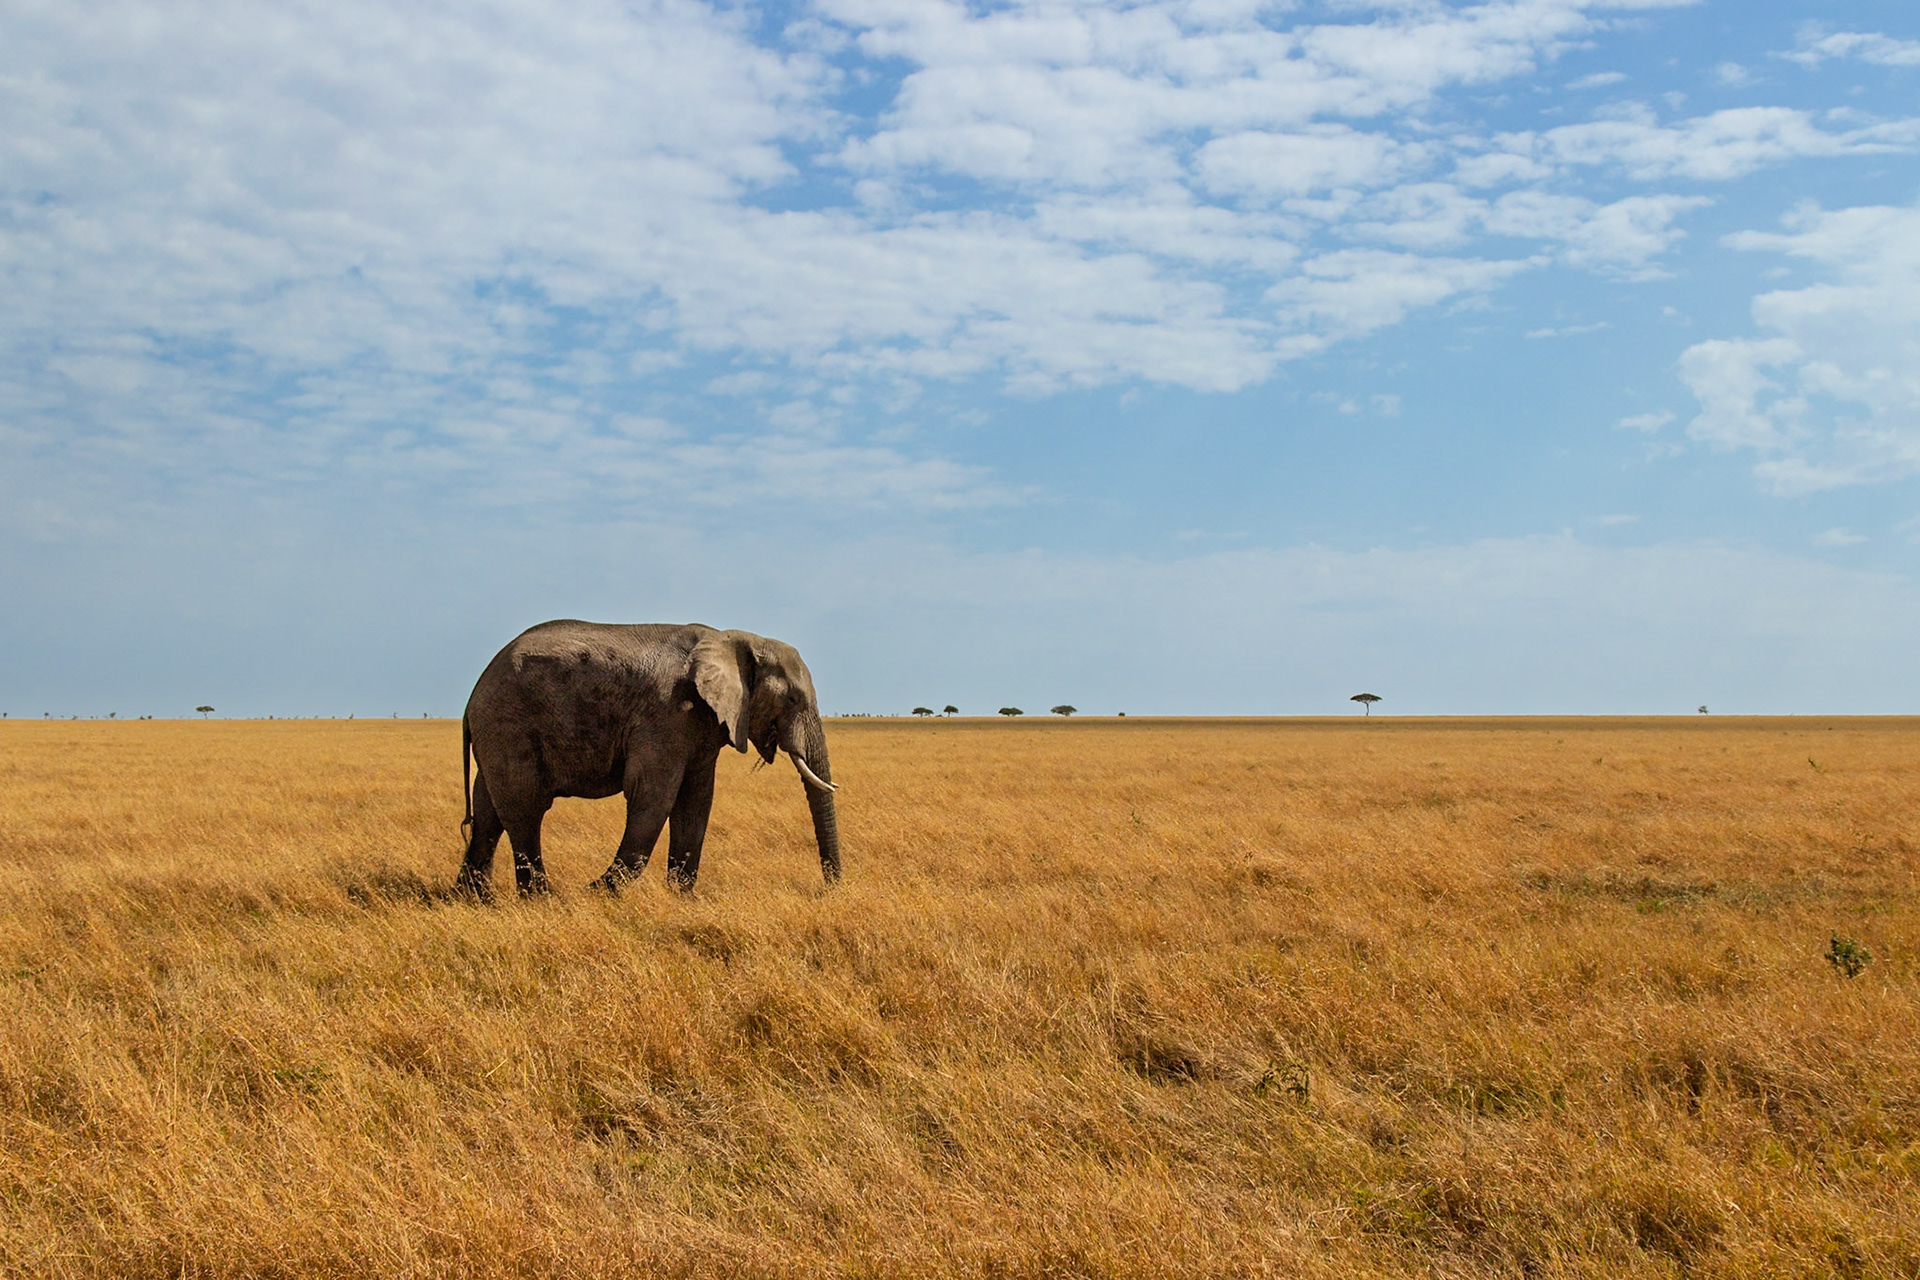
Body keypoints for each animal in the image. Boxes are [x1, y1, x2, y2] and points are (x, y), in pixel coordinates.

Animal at [456, 620, 839, 898]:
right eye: (793, 699)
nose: (829, 888)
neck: (733, 639)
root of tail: (473, 694)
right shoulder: (666, 713)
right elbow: (653, 795)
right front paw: (597, 893)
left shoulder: (701, 726)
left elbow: (695, 801)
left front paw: (682, 898)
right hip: (509, 723)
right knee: (524, 807)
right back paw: (541, 898)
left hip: (497, 731)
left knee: (488, 810)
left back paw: (472, 898)